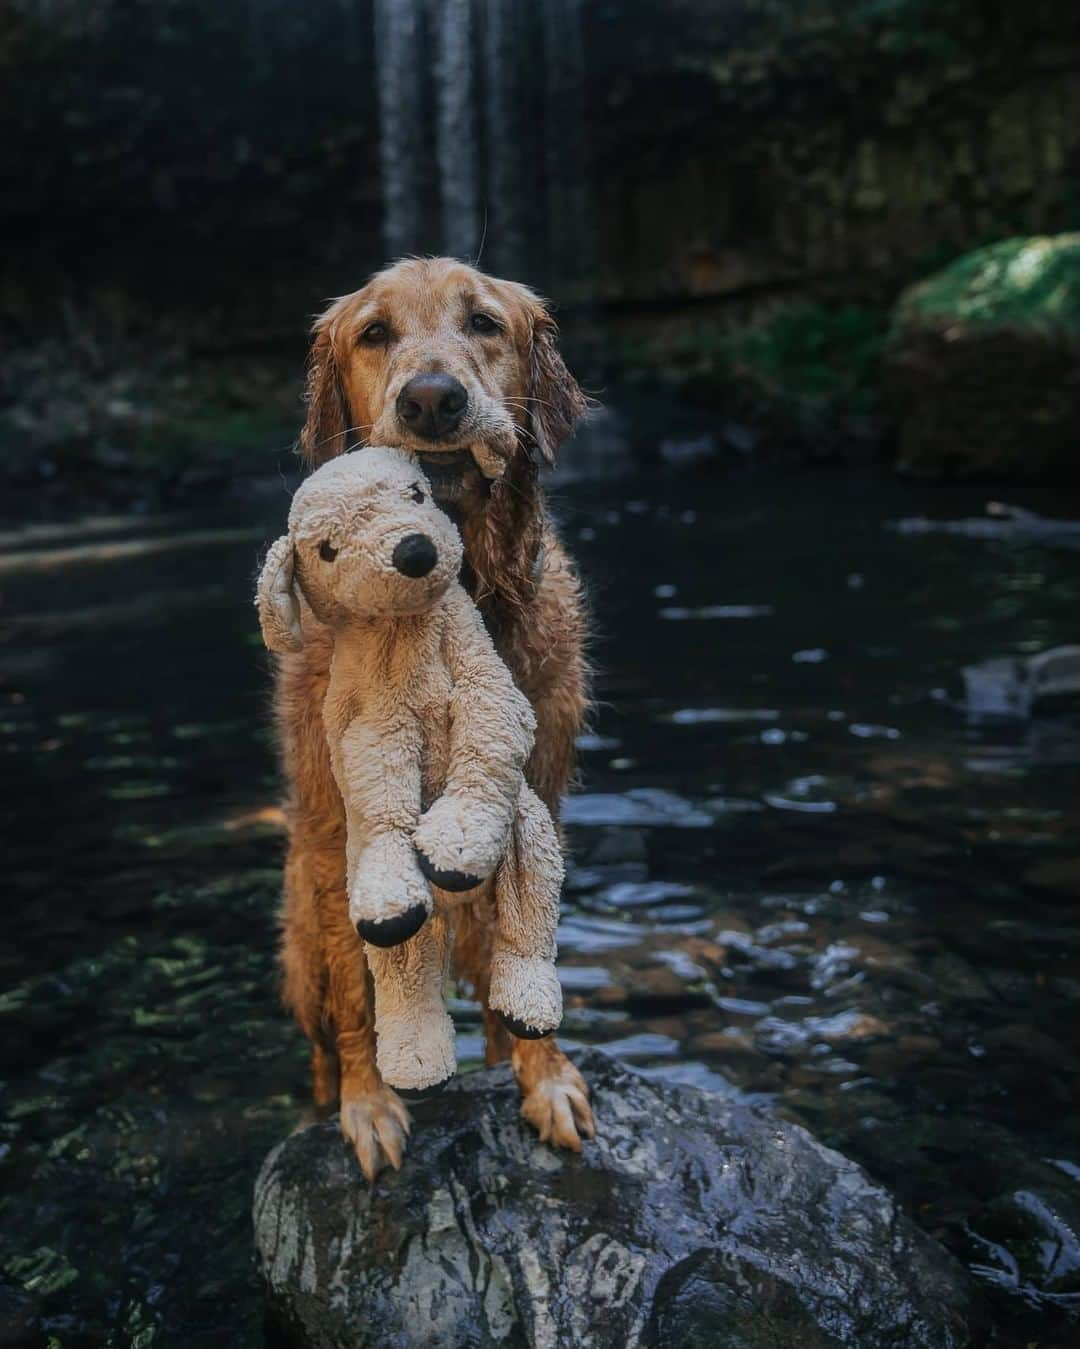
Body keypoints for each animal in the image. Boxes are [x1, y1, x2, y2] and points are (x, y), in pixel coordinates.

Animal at [269, 254, 590, 1181]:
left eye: (483, 321)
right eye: (375, 333)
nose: (432, 399)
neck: (462, 591)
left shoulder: (544, 784)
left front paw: (546, 1075)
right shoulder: (334, 822)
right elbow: (359, 978)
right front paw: (369, 1102)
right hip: (298, 942)